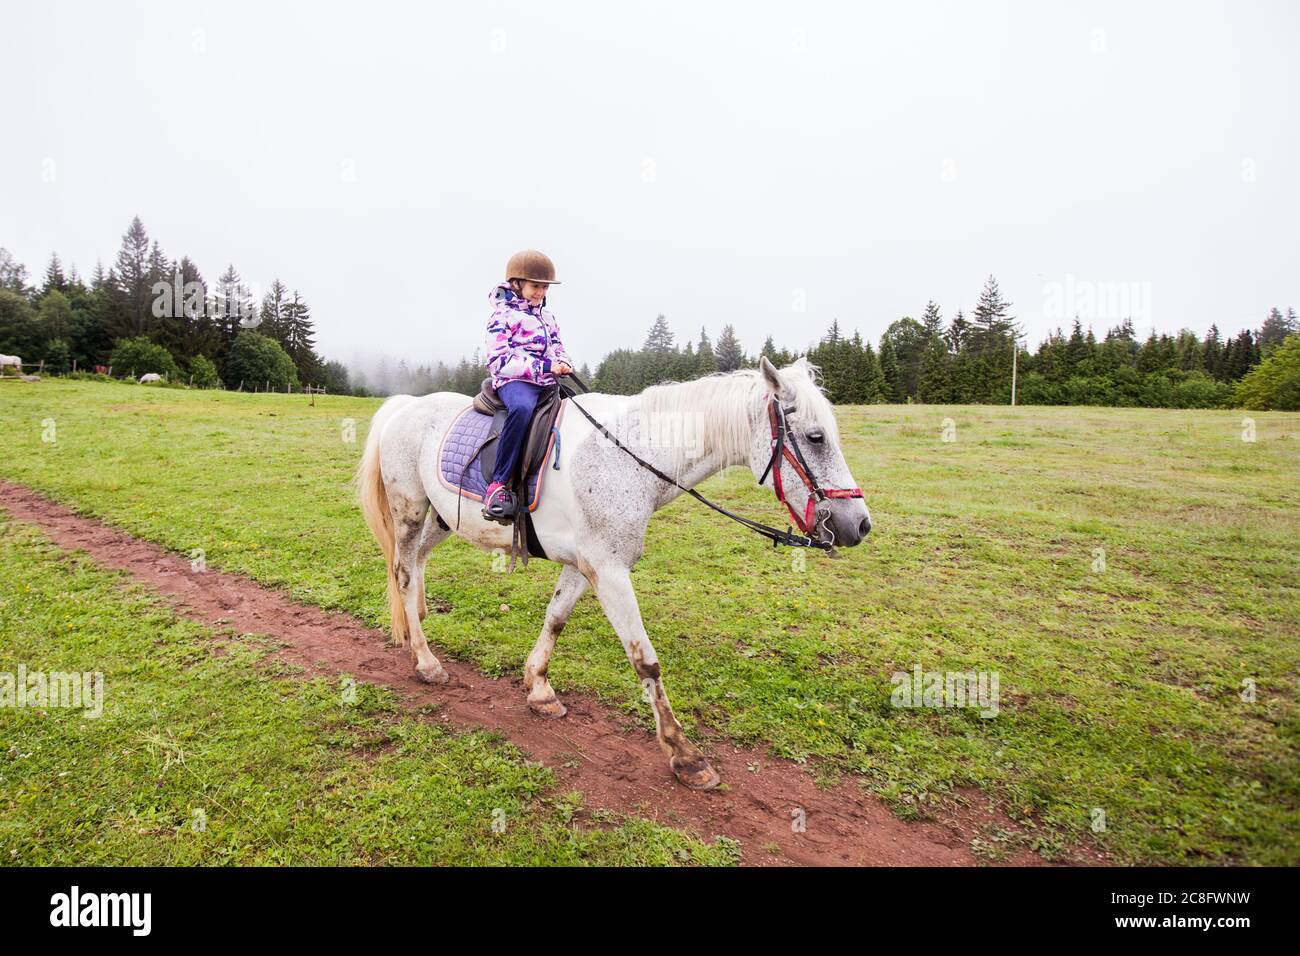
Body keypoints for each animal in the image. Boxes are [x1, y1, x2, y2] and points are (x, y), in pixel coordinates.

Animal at [353, 356, 873, 790]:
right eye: (815, 437)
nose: (860, 525)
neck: (630, 459)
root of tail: (406, 407)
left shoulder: (585, 566)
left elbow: (555, 619)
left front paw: (538, 688)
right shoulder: (610, 572)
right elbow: (646, 660)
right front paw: (684, 754)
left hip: (441, 519)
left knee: (416, 565)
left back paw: (417, 625)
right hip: (409, 511)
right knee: (402, 573)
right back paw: (425, 661)